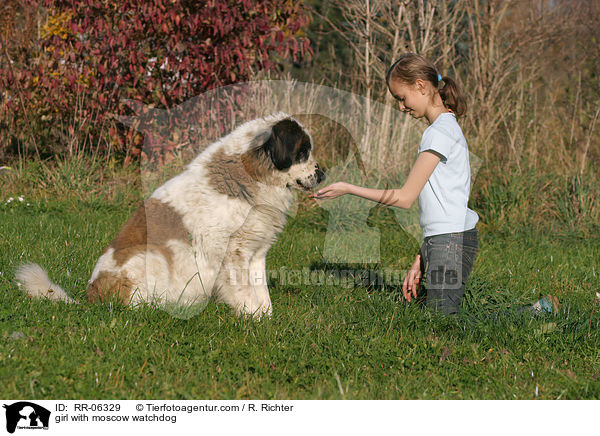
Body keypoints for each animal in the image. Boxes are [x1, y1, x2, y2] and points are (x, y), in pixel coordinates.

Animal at [15, 112, 324, 318]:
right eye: (303, 151)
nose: (322, 174)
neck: (251, 173)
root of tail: (92, 296)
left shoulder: (256, 252)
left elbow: (261, 291)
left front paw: (265, 318)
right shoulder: (233, 252)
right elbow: (244, 290)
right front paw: (253, 318)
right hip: (150, 256)